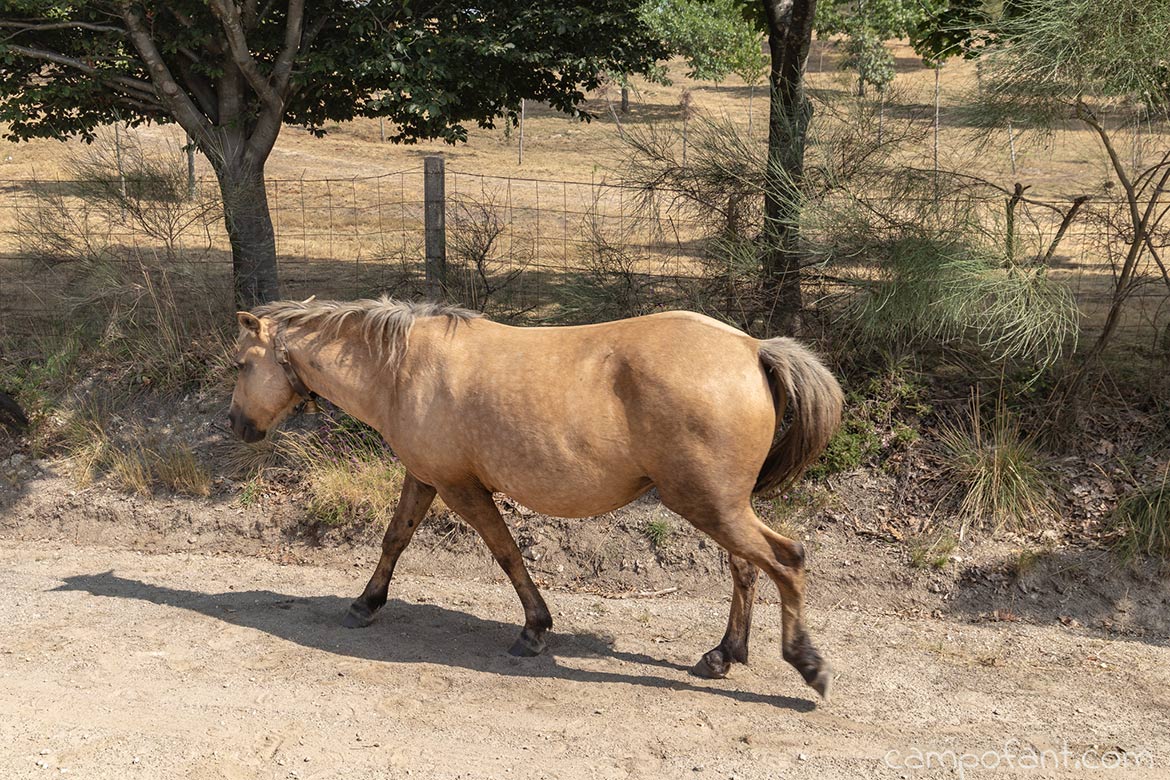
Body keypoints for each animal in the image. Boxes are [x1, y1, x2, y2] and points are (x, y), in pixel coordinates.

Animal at [228, 297, 843, 699]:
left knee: (786, 560)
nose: (235, 424)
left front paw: (534, 629)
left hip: (709, 505)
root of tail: (752, 348)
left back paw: (807, 663)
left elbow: (506, 554)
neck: (402, 369)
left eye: (240, 364)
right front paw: (365, 603)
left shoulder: (461, 489)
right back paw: (723, 655)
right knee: (747, 567)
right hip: (720, 506)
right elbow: (394, 540)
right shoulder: (424, 478)